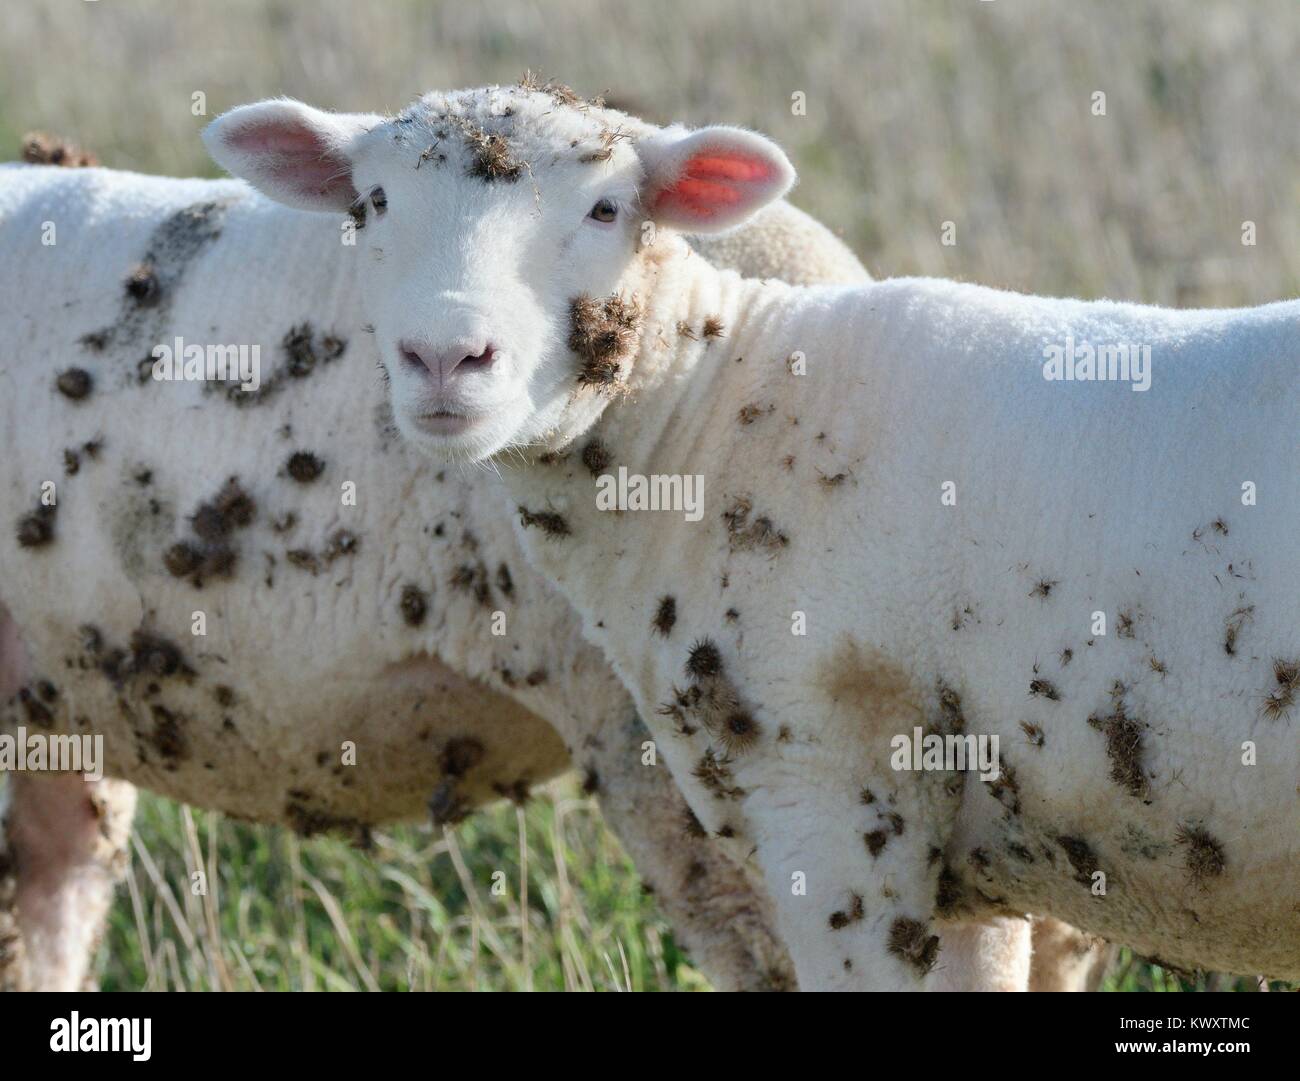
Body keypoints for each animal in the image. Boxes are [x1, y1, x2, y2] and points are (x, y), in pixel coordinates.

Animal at [202, 84, 1289, 992]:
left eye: (606, 211)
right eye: (375, 204)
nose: (444, 357)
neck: (719, 407)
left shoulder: (833, 800)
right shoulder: (967, 873)